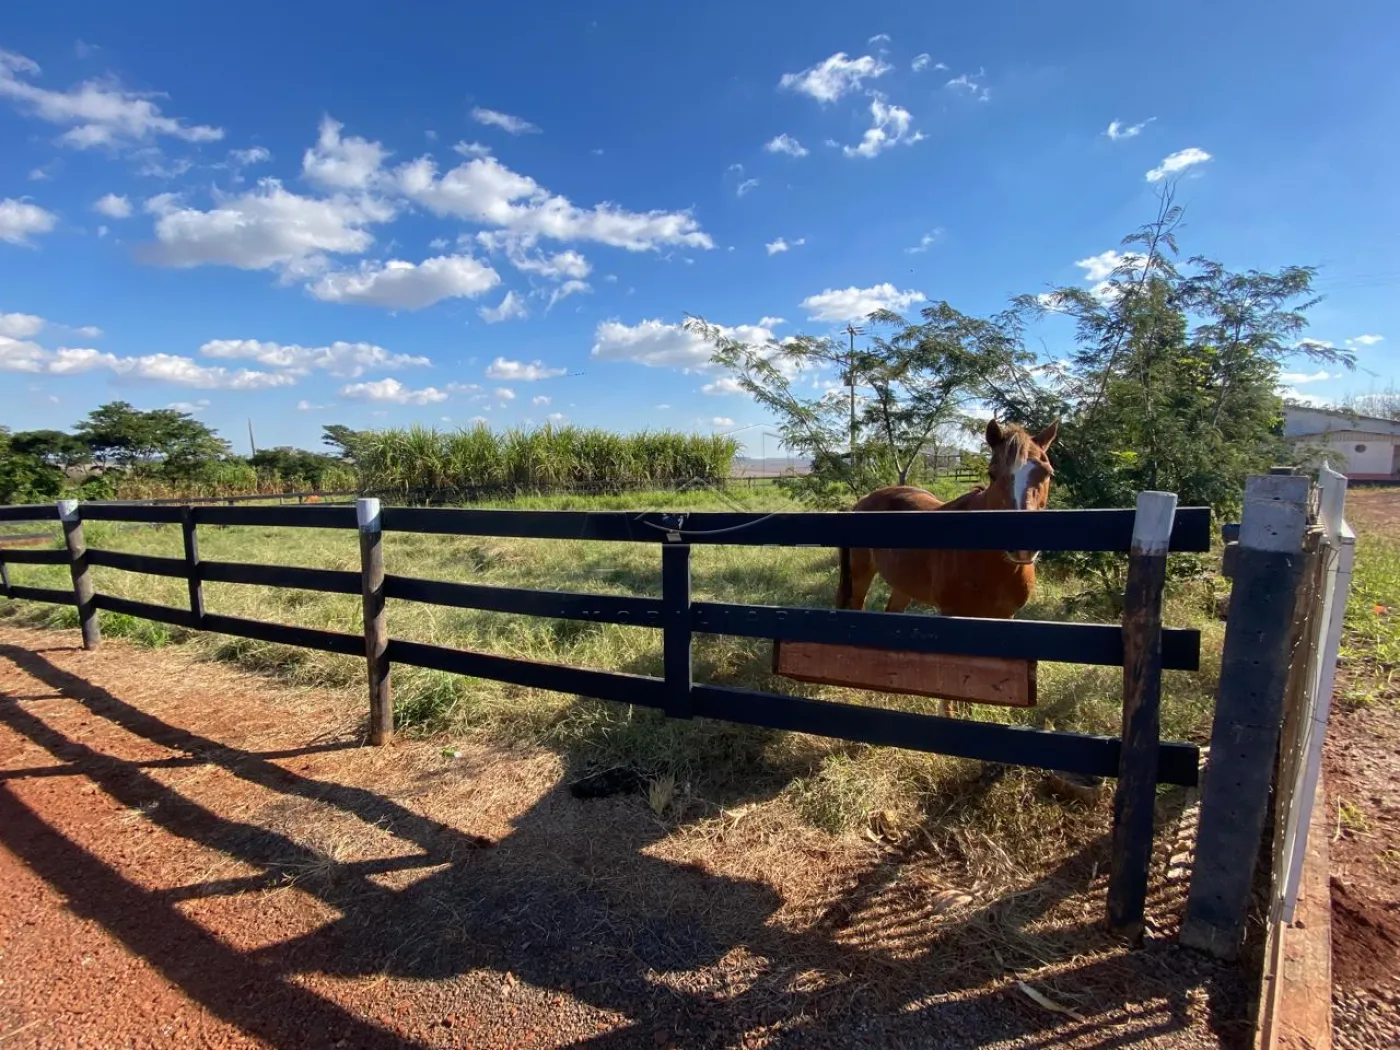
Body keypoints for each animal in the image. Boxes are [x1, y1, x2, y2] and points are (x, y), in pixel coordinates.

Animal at [835, 418, 1059, 620]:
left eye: (1048, 474)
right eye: (992, 474)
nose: (1022, 547)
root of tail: (864, 500)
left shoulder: (1005, 616)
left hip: (904, 584)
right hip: (860, 577)